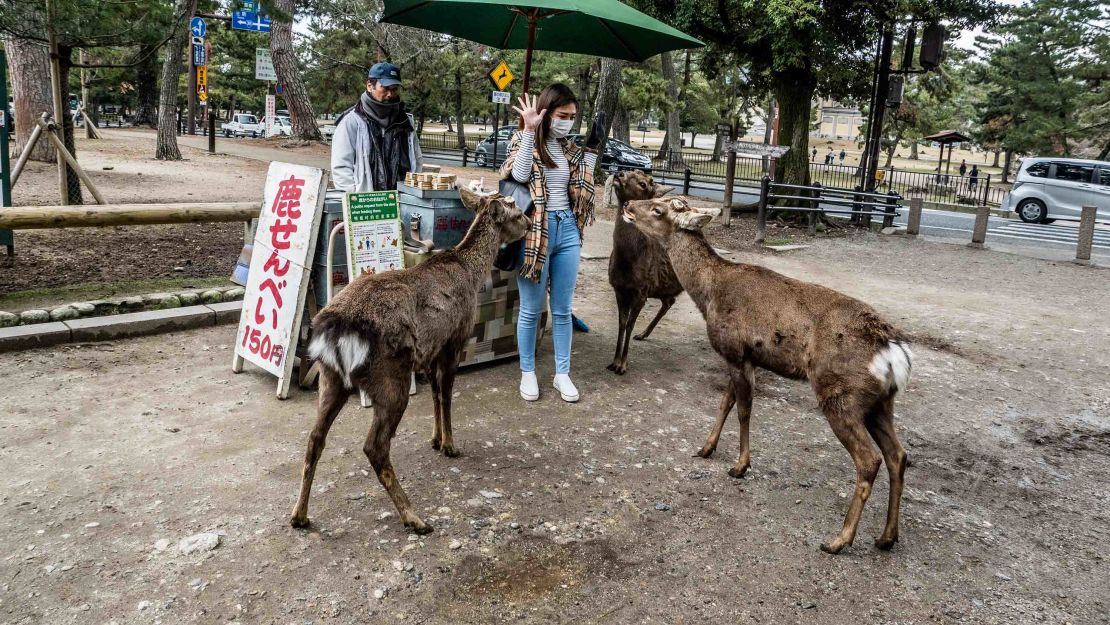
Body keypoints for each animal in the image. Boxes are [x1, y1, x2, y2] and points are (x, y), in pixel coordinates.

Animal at [290, 188, 532, 535]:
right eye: (516, 213)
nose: (530, 223)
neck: (471, 274)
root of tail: (336, 327)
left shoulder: (430, 350)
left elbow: (434, 394)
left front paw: (435, 439)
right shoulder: (455, 339)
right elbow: (446, 396)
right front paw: (450, 445)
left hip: (330, 377)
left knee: (314, 439)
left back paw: (299, 515)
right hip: (390, 377)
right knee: (374, 447)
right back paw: (414, 517)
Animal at [608, 169, 674, 377]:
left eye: (644, 184)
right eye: (630, 172)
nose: (619, 173)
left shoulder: (641, 291)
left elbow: (629, 324)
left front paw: (622, 365)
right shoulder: (619, 289)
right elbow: (621, 323)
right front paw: (614, 361)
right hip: (661, 288)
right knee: (669, 300)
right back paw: (643, 334)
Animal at [621, 197, 914, 555]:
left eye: (660, 209)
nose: (629, 204)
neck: (709, 295)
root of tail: (894, 353)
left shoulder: (736, 351)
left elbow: (744, 410)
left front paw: (740, 465)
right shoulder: (741, 356)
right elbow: (726, 403)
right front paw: (706, 448)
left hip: (841, 394)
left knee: (869, 459)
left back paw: (839, 539)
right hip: (880, 402)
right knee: (898, 456)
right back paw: (887, 537)